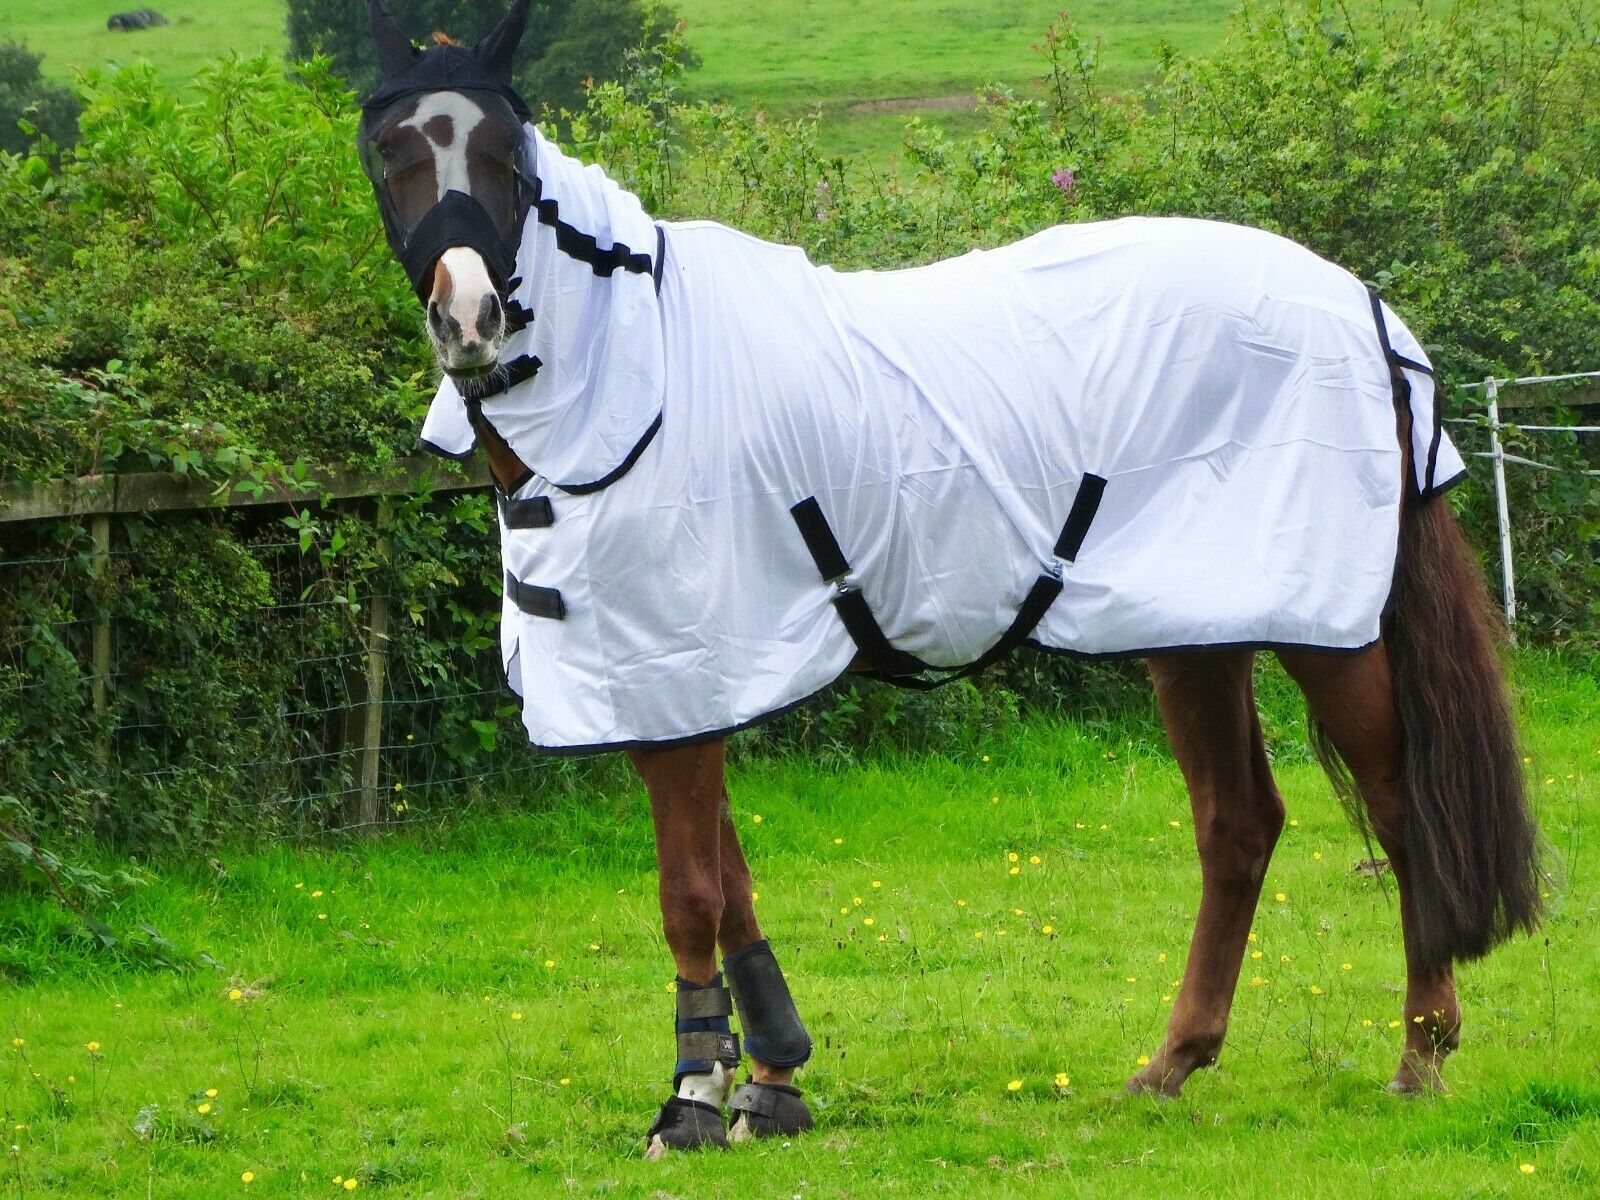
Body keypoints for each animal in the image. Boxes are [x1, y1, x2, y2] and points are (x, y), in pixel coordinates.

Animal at [356, 0, 1542, 1157]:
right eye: (387, 150)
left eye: (507, 152)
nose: (469, 320)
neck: (643, 374)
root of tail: (1356, 304)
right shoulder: (681, 684)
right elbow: (731, 881)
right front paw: (772, 1079)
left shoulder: (676, 674)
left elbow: (689, 892)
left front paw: (694, 1099)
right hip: (1193, 631)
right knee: (1238, 825)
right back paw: (1172, 1062)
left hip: (1319, 630)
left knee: (1399, 804)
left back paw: (1422, 1052)